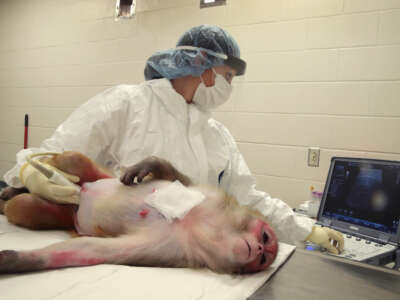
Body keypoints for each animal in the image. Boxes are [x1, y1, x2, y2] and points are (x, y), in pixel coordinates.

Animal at [0, 152, 278, 274]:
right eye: (265, 238)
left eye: (263, 259)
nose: (260, 249)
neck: (199, 224)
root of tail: (79, 195)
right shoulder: (209, 197)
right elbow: (175, 178)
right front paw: (149, 165)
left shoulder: (175, 250)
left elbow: (89, 250)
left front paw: (14, 261)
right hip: (98, 176)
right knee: (72, 161)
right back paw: (19, 186)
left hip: (67, 213)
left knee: (27, 207)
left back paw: (19, 198)